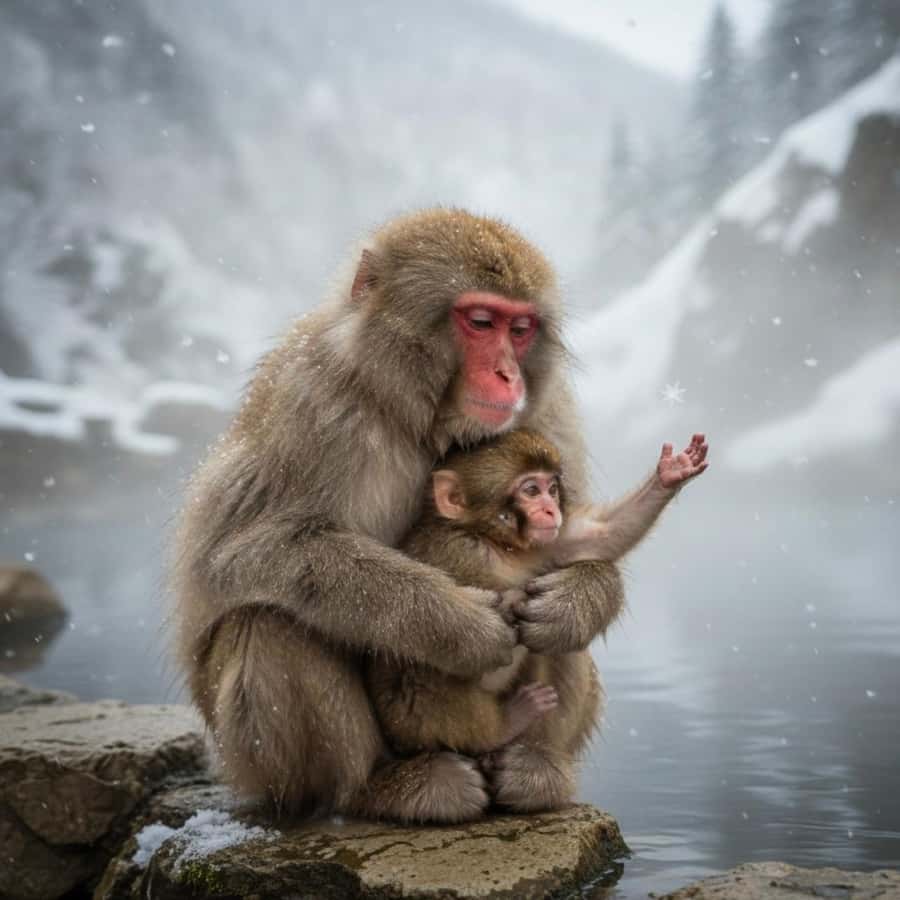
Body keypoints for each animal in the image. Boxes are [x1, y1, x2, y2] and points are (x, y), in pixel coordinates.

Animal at [172, 208, 626, 824]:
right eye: (481, 322)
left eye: (521, 329)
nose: (509, 375)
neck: (427, 419)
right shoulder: (312, 402)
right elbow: (242, 553)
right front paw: (459, 626)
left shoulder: (549, 410)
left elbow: (577, 541)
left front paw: (574, 604)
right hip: (253, 762)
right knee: (268, 622)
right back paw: (377, 789)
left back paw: (530, 766)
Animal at [368, 429, 708, 809]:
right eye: (531, 490)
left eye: (552, 488)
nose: (550, 508)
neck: (492, 541)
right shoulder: (456, 552)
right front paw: (511, 603)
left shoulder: (540, 545)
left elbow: (596, 537)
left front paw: (670, 474)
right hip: (410, 723)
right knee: (426, 669)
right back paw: (503, 726)